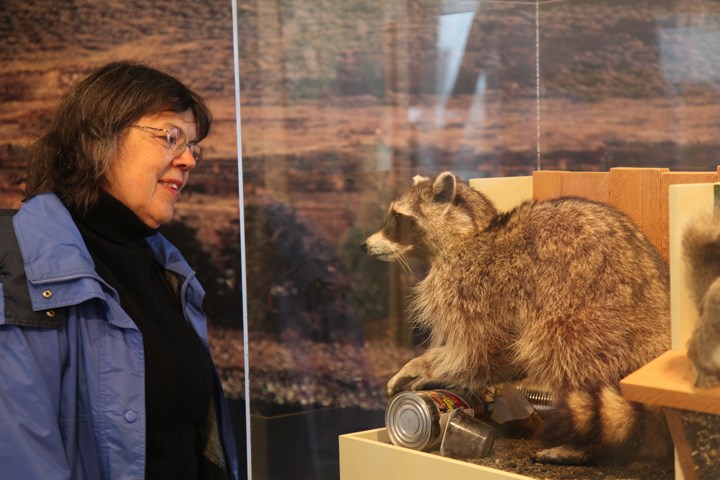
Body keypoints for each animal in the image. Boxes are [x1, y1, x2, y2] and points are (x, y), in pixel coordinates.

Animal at [362, 172, 672, 464]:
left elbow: (485, 351)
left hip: (588, 316)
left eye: (398, 217)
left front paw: (426, 367)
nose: (365, 245)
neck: (469, 234)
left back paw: (585, 446)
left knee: (565, 353)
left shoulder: (479, 289)